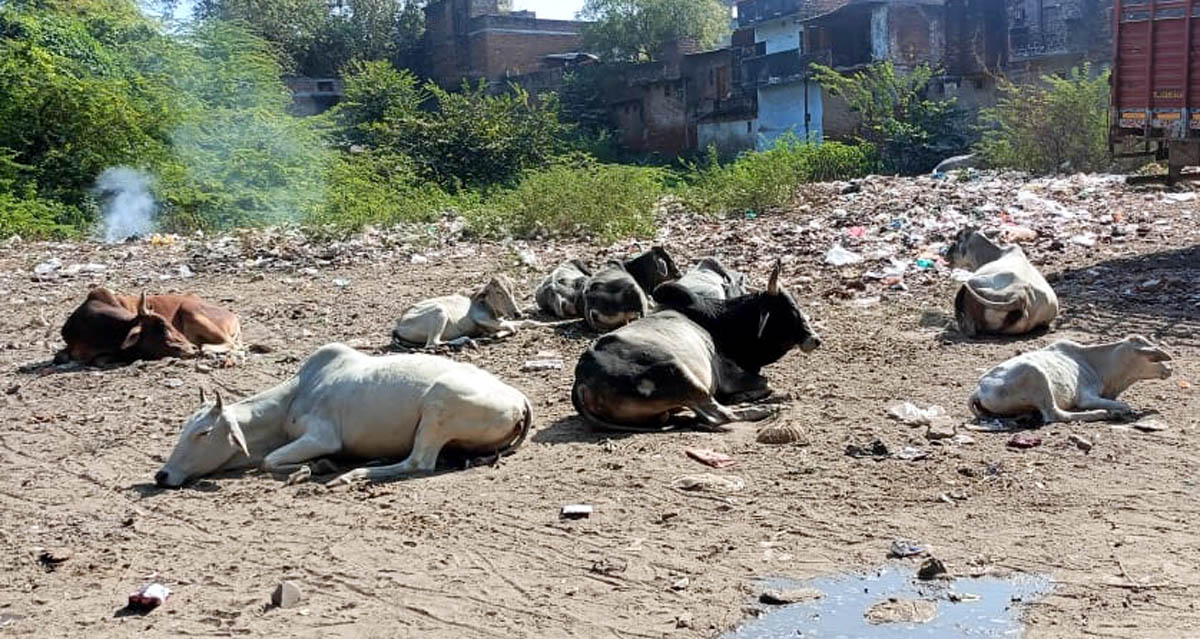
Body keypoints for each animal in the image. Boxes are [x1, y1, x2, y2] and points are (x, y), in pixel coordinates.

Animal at [56, 289, 241, 365]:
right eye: (163, 328)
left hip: (190, 309)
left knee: (231, 344)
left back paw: (206, 348)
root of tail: (233, 316)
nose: (191, 348)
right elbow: (61, 357)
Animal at [157, 341, 532, 487]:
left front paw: (315, 467)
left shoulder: (322, 437)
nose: (162, 475)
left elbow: (269, 461)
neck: (294, 396)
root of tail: (519, 399)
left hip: (438, 405)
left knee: (419, 462)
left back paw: (353, 474)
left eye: (204, 432)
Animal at [573, 261, 825, 432]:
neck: (721, 322)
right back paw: (765, 409)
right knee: (720, 416)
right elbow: (766, 383)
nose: (815, 339)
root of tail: (582, 381)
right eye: (788, 311)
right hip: (680, 375)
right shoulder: (728, 376)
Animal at [964, 333, 1171, 425]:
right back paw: (1103, 413)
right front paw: (1119, 411)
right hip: (1036, 375)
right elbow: (1125, 405)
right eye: (1151, 357)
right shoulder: (1086, 396)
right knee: (1055, 415)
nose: (1170, 369)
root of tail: (979, 389)